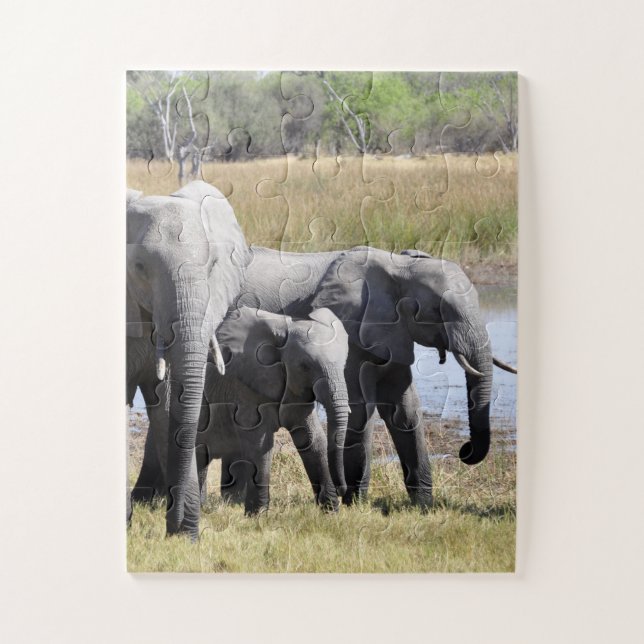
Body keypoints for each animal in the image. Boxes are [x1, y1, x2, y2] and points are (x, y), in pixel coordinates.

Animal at [132, 306, 350, 515]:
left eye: (344, 365)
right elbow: (261, 444)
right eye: (305, 366)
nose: (343, 489)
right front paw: (258, 516)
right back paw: (146, 503)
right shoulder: (243, 386)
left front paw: (331, 513)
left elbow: (313, 439)